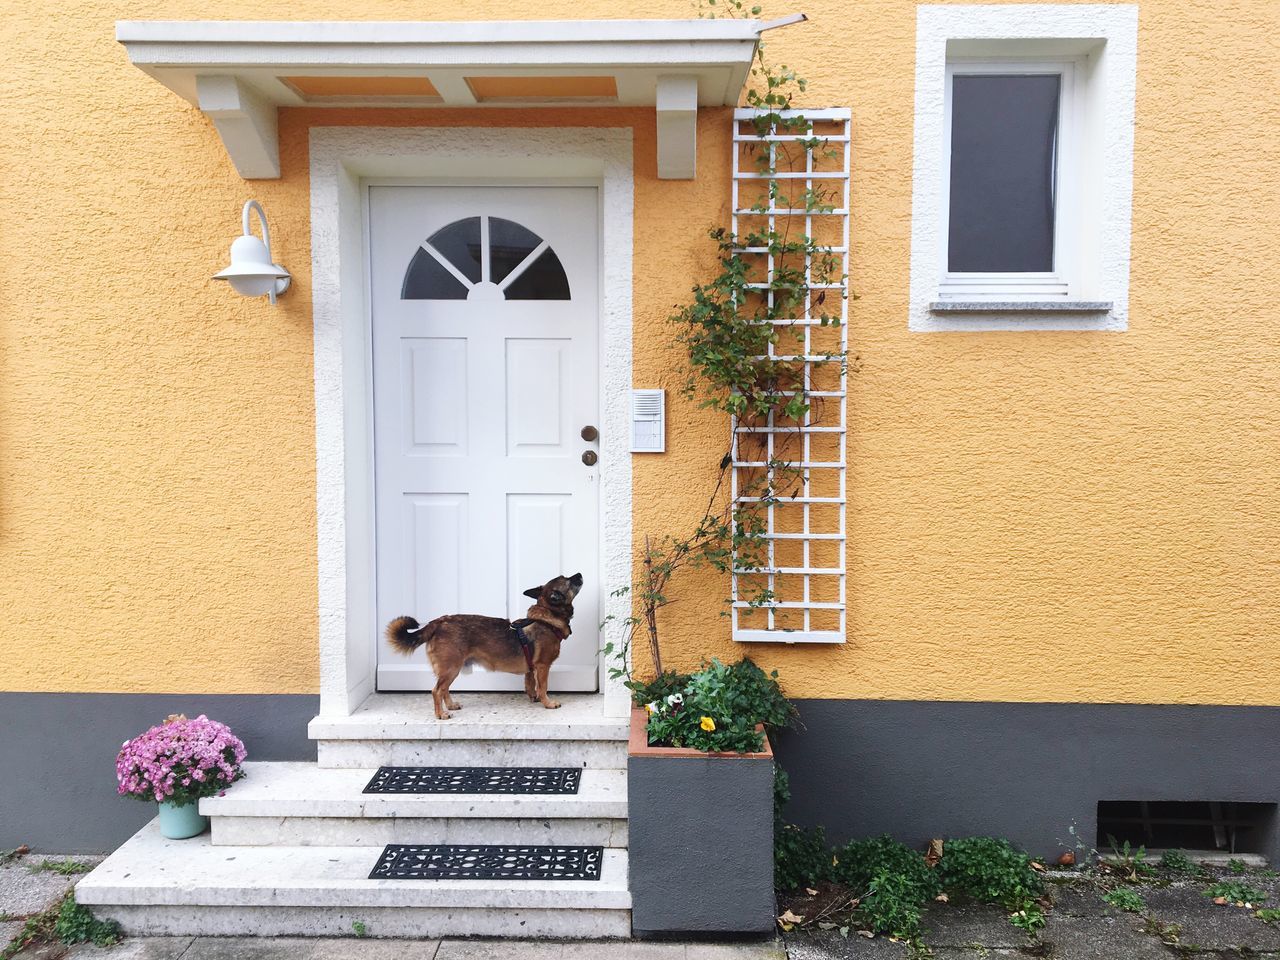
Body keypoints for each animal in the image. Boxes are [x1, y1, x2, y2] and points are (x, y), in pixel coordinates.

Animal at [378, 570, 581, 721]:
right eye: (569, 581)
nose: (579, 574)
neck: (547, 618)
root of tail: (438, 622)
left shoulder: (531, 668)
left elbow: (530, 684)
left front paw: (534, 698)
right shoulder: (542, 666)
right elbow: (543, 686)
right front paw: (548, 703)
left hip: (452, 669)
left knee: (444, 689)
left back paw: (450, 705)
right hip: (451, 667)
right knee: (436, 690)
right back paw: (441, 713)